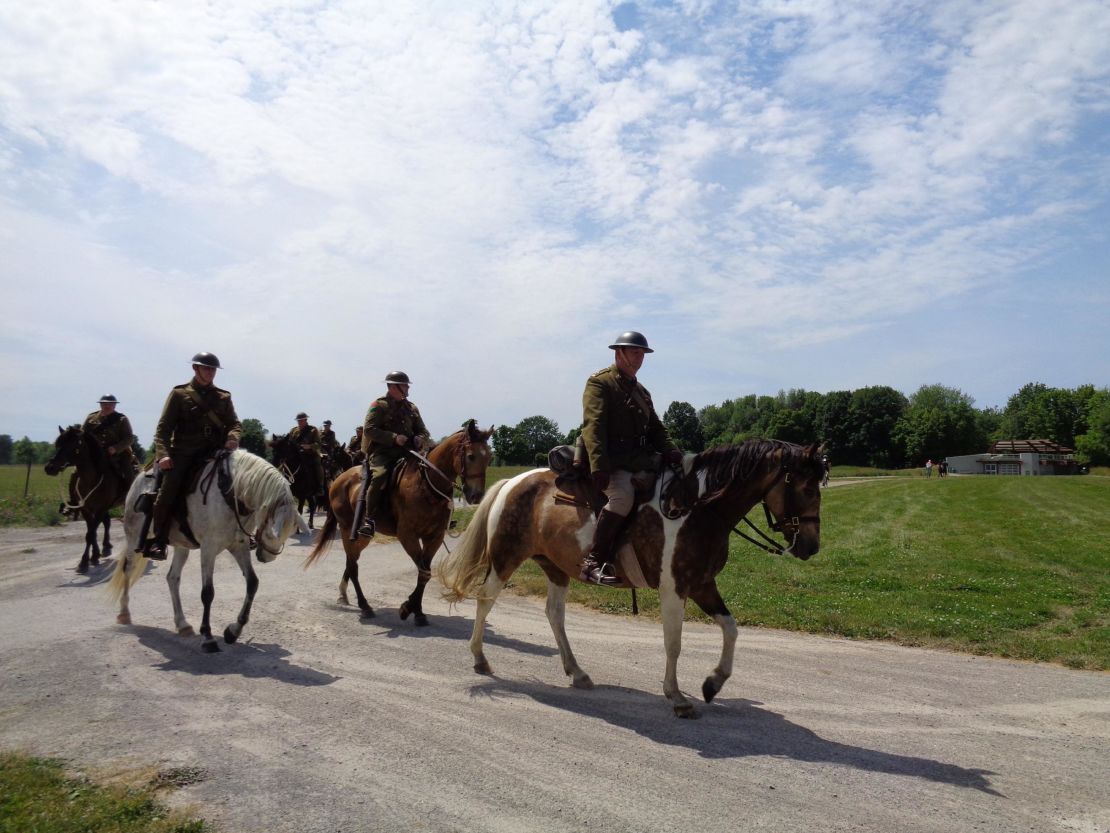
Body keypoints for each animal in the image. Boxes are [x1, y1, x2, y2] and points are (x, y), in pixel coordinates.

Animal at [43, 426, 131, 577]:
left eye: (71, 446)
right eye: (58, 445)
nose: (50, 467)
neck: (91, 479)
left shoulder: (101, 508)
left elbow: (91, 534)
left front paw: (84, 562)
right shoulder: (86, 509)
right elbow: (91, 532)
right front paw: (93, 556)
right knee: (106, 522)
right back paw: (105, 547)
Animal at [108, 450, 308, 653]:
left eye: (291, 531)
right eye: (272, 533)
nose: (267, 558)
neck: (230, 491)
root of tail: (141, 477)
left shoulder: (239, 546)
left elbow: (252, 583)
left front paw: (233, 631)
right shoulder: (208, 549)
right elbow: (207, 593)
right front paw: (208, 636)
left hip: (182, 546)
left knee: (172, 578)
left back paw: (182, 624)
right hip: (133, 538)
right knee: (128, 570)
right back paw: (124, 613)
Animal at [304, 424, 495, 626]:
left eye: (489, 458)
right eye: (471, 456)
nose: (476, 496)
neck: (426, 485)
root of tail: (339, 479)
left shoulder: (434, 537)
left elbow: (424, 573)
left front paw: (417, 611)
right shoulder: (407, 535)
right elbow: (423, 571)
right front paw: (407, 608)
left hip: (362, 537)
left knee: (351, 562)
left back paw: (344, 594)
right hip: (348, 530)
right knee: (353, 567)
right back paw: (365, 606)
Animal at [435, 439, 825, 719]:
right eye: (807, 489)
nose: (811, 546)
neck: (695, 509)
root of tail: (512, 483)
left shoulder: (702, 584)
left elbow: (731, 629)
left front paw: (713, 683)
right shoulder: (674, 589)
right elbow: (673, 643)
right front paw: (676, 696)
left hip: (556, 568)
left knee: (554, 614)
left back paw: (577, 672)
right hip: (505, 559)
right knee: (485, 600)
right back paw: (479, 658)